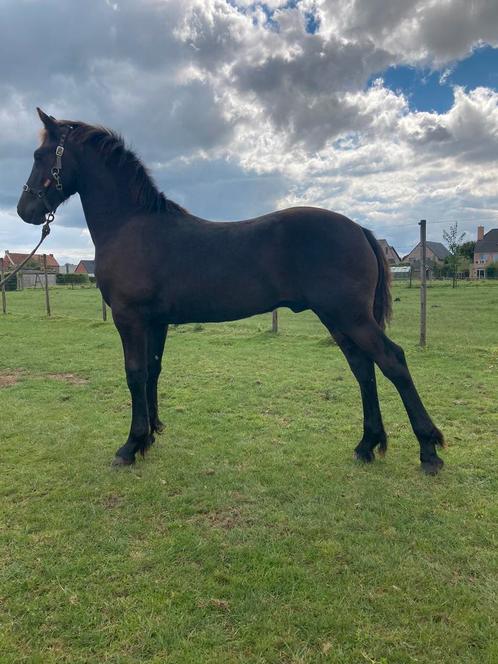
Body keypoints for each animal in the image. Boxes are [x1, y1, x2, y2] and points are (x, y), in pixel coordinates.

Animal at [15, 109, 446, 472]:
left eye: (39, 154)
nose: (24, 210)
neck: (132, 226)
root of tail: (359, 228)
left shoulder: (130, 318)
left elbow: (134, 373)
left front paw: (131, 445)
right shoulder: (156, 322)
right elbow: (153, 371)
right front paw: (151, 435)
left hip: (349, 316)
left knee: (392, 361)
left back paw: (429, 450)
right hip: (338, 319)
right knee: (363, 368)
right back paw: (367, 445)